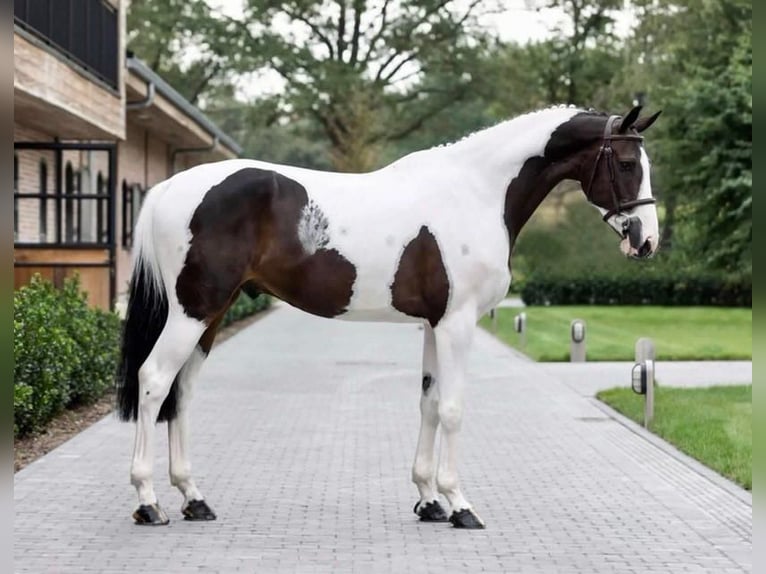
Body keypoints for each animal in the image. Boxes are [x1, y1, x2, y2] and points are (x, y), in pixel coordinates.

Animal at [117, 104, 664, 532]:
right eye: (627, 162)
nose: (646, 240)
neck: (475, 192)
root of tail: (168, 188)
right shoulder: (457, 323)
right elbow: (452, 409)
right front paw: (460, 505)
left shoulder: (433, 325)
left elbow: (428, 402)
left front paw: (428, 501)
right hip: (193, 311)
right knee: (155, 380)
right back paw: (148, 503)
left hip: (211, 313)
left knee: (182, 392)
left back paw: (194, 499)